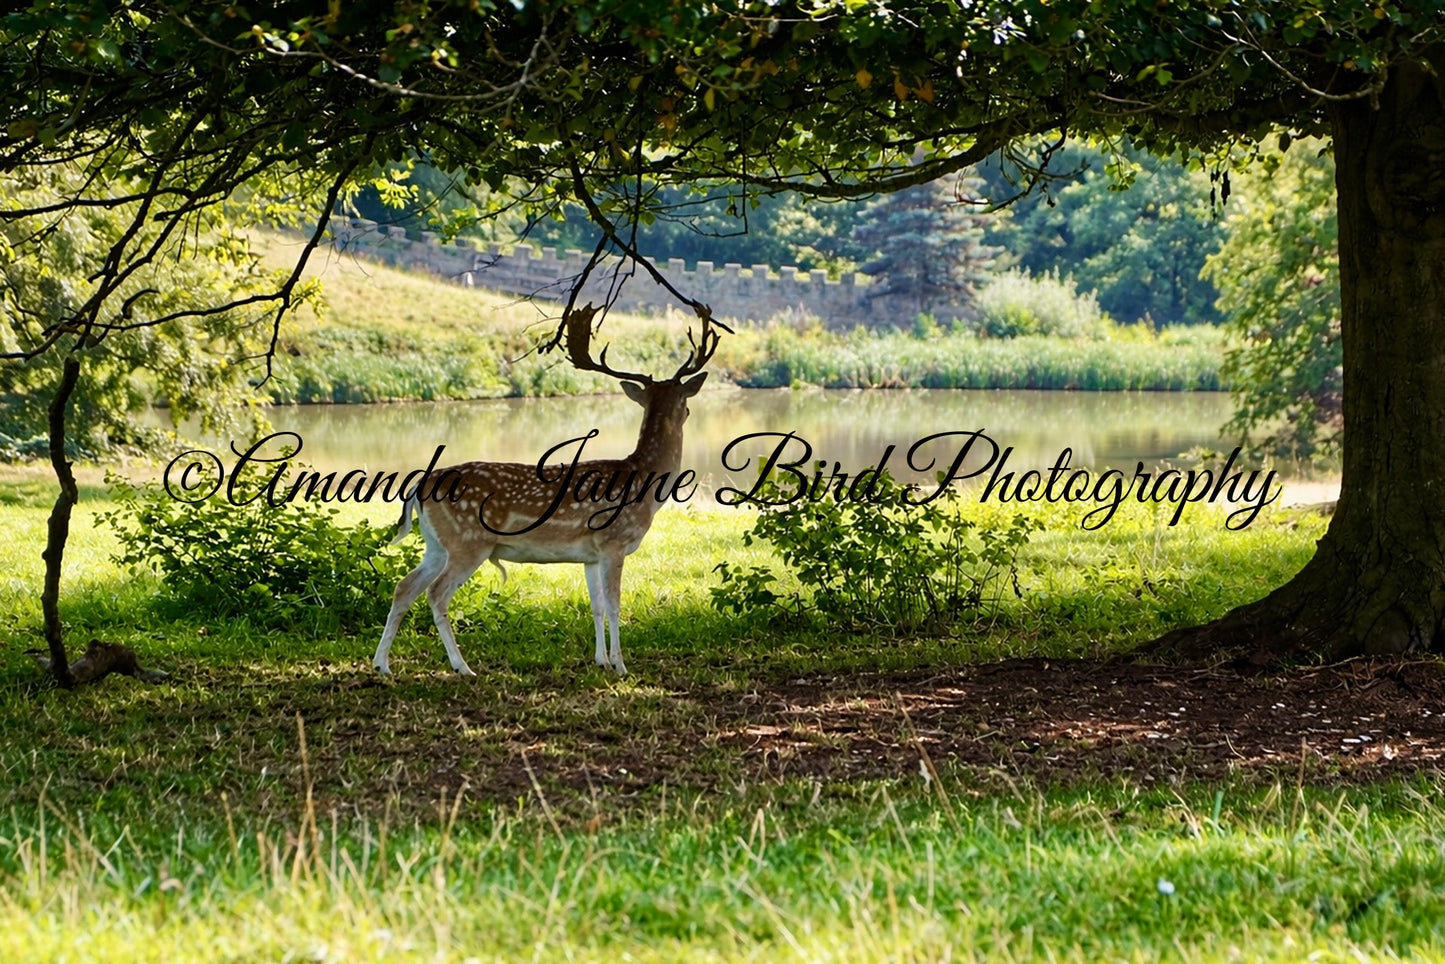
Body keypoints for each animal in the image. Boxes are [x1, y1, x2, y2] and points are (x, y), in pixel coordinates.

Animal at [372, 303, 720, 677]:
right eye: (685, 403)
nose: (689, 411)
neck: (645, 484)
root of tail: (418, 486)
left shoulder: (590, 554)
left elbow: (596, 606)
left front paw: (601, 660)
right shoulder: (613, 542)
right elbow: (614, 605)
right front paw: (621, 665)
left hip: (437, 544)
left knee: (404, 587)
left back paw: (382, 664)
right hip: (469, 542)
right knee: (436, 593)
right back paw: (461, 667)